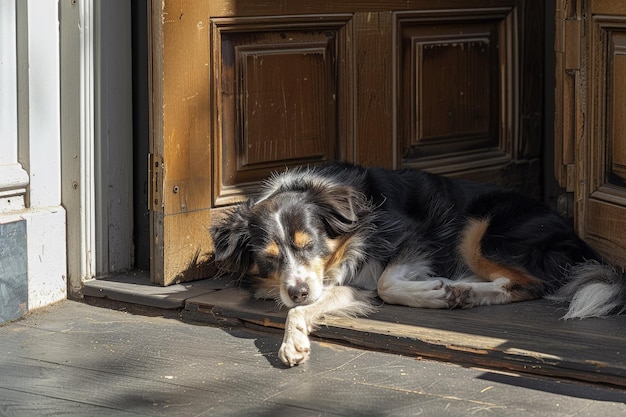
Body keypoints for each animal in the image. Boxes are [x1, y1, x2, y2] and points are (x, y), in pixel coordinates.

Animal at [211, 162, 624, 364]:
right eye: (268, 260)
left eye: (310, 244)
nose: (297, 291)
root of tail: (575, 236)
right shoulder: (337, 284)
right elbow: (313, 305)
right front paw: (294, 341)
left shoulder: (415, 234)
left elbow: (386, 284)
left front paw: (431, 294)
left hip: (480, 230)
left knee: (531, 284)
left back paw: (460, 290)